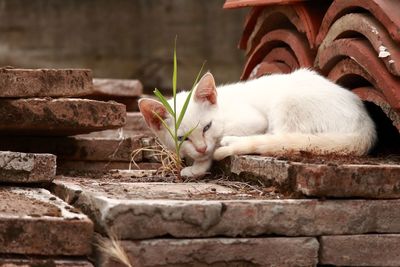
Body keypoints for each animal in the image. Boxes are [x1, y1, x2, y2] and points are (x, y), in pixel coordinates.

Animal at [139, 69, 376, 178]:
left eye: (207, 127)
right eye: (182, 138)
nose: (201, 147)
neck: (223, 106)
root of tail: (366, 126)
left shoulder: (254, 120)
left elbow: (218, 140)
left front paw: (201, 162)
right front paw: (199, 163)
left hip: (287, 100)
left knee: (278, 139)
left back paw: (232, 143)